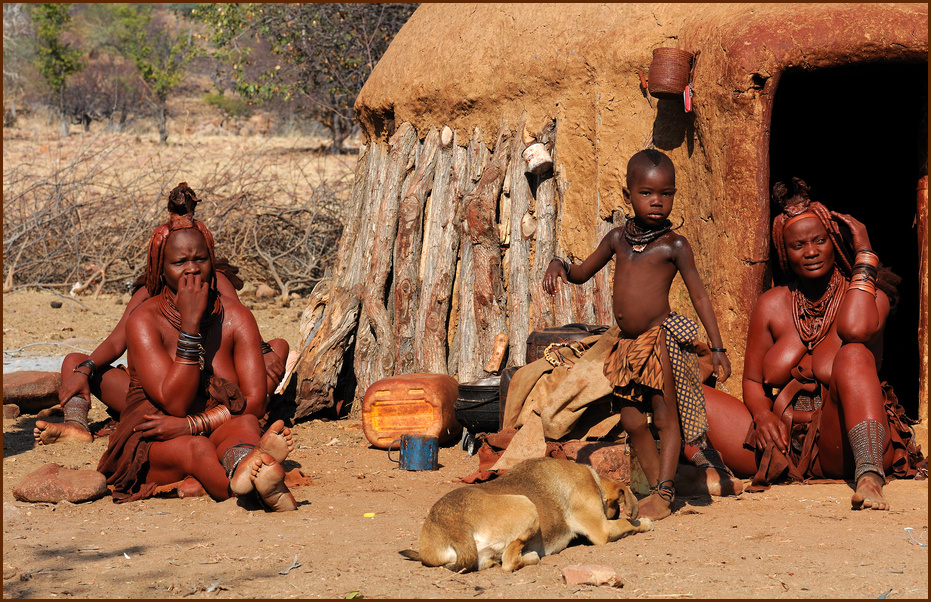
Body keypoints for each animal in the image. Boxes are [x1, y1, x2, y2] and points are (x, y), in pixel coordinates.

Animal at [400, 458, 656, 568]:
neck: (594, 479)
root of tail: (455, 528)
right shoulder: (602, 530)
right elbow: (628, 523)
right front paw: (645, 522)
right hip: (527, 506)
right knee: (509, 561)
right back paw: (532, 556)